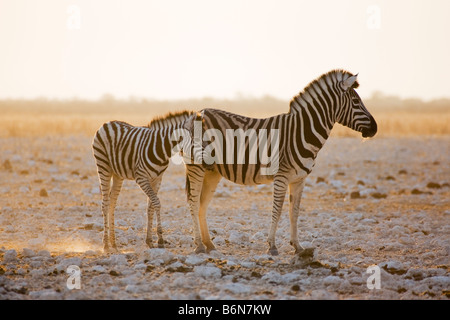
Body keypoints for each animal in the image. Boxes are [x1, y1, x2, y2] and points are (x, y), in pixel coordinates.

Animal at [92, 110, 197, 252]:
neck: (162, 148)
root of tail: (108, 123)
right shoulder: (141, 178)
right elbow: (157, 203)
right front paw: (160, 240)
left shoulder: (157, 179)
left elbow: (150, 207)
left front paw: (150, 241)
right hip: (103, 166)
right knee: (105, 203)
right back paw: (106, 245)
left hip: (118, 174)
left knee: (112, 202)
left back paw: (113, 243)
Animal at [185, 69, 378, 255]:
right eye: (356, 101)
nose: (375, 128)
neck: (302, 132)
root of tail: (198, 112)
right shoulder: (282, 176)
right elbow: (277, 211)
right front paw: (272, 246)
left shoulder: (300, 179)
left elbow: (294, 212)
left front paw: (298, 247)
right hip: (196, 166)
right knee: (193, 203)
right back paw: (199, 246)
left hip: (212, 171)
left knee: (202, 205)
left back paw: (209, 244)